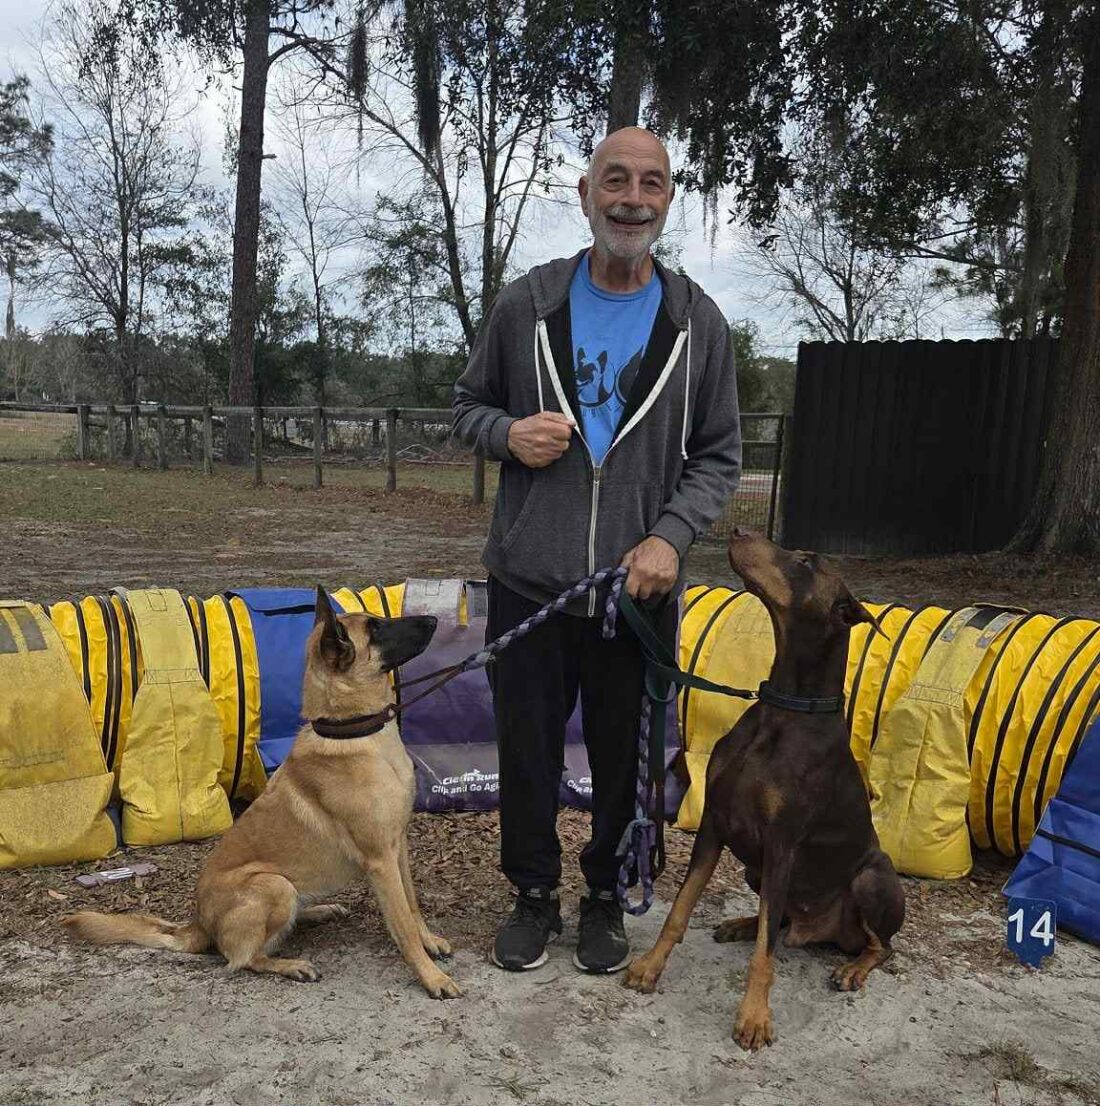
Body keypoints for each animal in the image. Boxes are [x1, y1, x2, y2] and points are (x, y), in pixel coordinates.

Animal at [63, 589, 461, 998]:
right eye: (376, 628)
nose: (434, 620)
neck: (352, 732)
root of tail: (199, 925)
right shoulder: (380, 859)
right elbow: (403, 926)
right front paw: (432, 977)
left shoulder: (398, 847)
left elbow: (412, 907)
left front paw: (430, 943)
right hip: (272, 884)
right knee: (243, 958)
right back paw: (291, 964)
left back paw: (316, 911)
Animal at [625, 529, 905, 1048]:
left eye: (807, 562)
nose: (738, 532)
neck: (785, 709)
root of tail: (821, 932)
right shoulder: (714, 825)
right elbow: (679, 911)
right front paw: (649, 967)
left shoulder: (782, 844)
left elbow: (764, 955)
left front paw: (754, 1017)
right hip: (755, 870)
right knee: (778, 920)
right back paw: (742, 923)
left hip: (870, 876)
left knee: (880, 944)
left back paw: (854, 969)